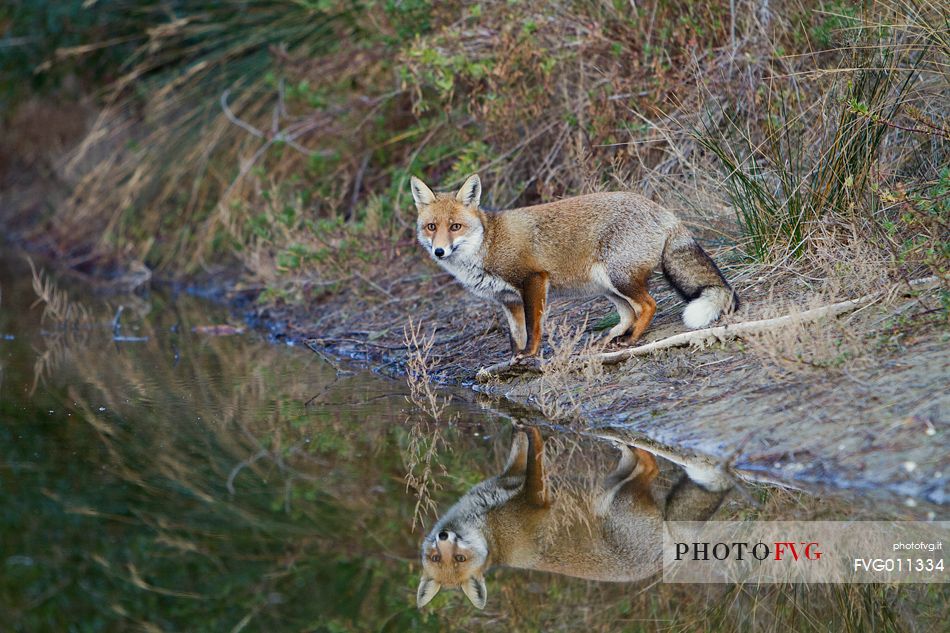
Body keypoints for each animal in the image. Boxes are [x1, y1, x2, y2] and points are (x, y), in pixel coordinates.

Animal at [412, 174, 740, 356]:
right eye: (431, 227)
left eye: (455, 226)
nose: (439, 251)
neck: (488, 244)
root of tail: (664, 211)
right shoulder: (507, 301)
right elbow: (515, 335)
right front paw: (513, 359)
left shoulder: (533, 280)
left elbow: (533, 327)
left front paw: (530, 355)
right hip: (605, 284)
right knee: (628, 313)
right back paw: (609, 340)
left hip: (617, 277)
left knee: (648, 305)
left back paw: (632, 339)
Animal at [418, 428, 736, 608]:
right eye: (438, 558)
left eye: (458, 558)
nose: (443, 536)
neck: (490, 531)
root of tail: (669, 553)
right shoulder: (531, 494)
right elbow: (533, 456)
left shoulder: (517, 480)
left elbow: (524, 443)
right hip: (615, 497)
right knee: (649, 466)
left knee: (647, 464)